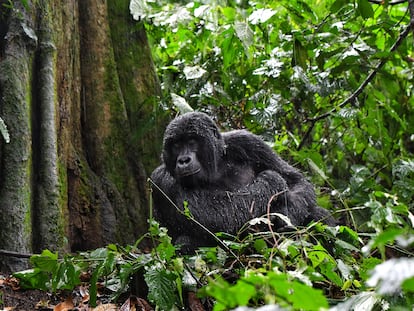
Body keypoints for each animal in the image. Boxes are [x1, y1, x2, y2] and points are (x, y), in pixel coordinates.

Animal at [149, 111, 334, 251]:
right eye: (176, 145)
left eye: (192, 141)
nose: (183, 160)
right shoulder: (161, 179)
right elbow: (216, 217)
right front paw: (271, 181)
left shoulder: (247, 141)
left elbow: (295, 181)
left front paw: (287, 214)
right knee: (185, 241)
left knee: (316, 212)